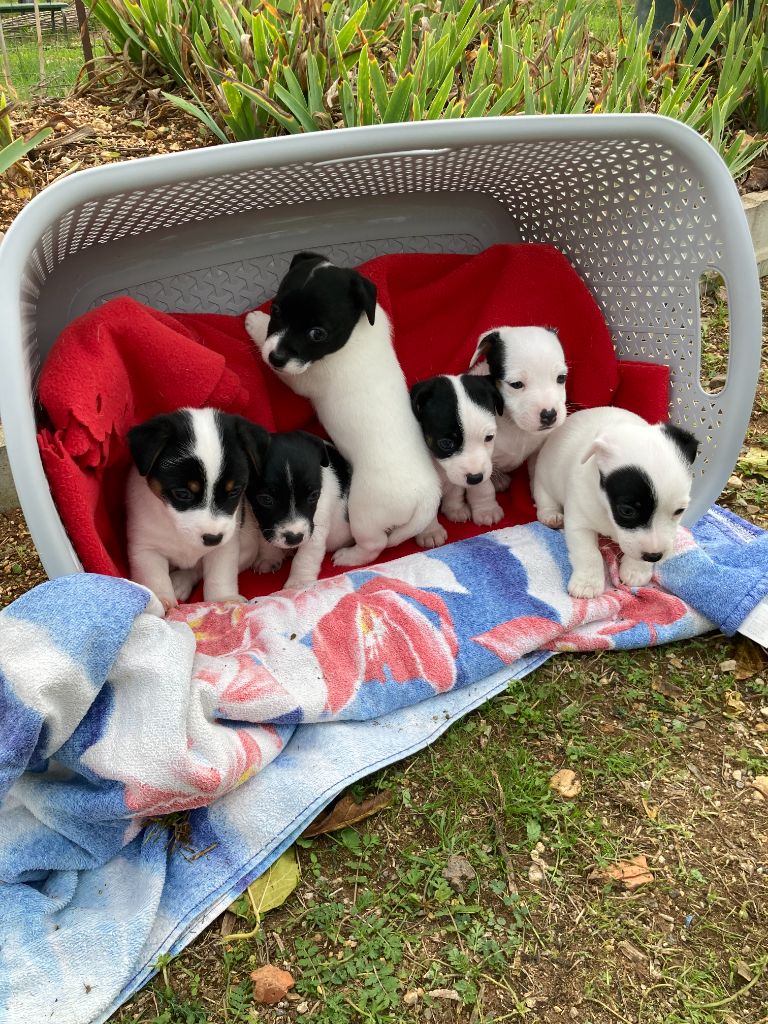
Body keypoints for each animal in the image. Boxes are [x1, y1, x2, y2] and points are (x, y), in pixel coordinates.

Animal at [243, 250, 442, 565]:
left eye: (317, 333)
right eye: (277, 309)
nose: (274, 357)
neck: (355, 331)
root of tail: (425, 497)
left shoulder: (302, 375)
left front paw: (255, 323)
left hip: (364, 512)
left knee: (375, 544)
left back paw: (349, 557)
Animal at [247, 432, 354, 593]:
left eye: (314, 496)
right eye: (266, 499)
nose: (294, 538)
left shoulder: (316, 528)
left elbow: (305, 557)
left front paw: (299, 583)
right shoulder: (260, 520)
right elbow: (265, 539)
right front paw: (269, 557)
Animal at [411, 374, 507, 548]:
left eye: (489, 437)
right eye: (446, 443)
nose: (476, 478)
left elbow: (456, 490)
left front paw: (455, 508)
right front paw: (430, 532)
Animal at [532, 405, 700, 598]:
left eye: (679, 511)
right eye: (627, 511)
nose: (654, 556)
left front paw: (636, 570)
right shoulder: (578, 521)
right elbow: (589, 553)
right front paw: (587, 583)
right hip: (543, 479)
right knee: (545, 497)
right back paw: (551, 515)